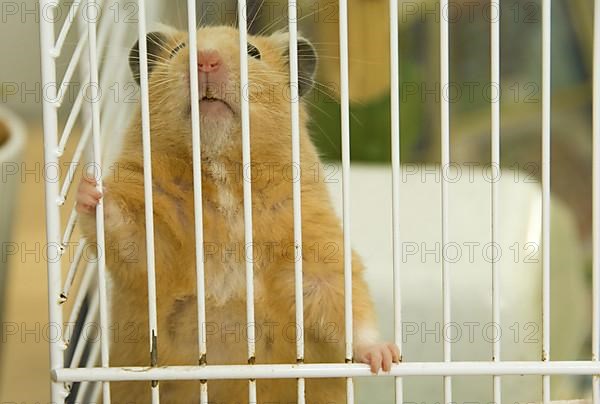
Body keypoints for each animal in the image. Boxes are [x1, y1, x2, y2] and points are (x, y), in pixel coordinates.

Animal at [77, 26, 400, 404]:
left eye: (252, 52)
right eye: (178, 49)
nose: (205, 58)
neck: (222, 174)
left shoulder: (314, 241)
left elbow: (344, 301)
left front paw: (385, 358)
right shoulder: (153, 240)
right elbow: (126, 232)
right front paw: (87, 187)